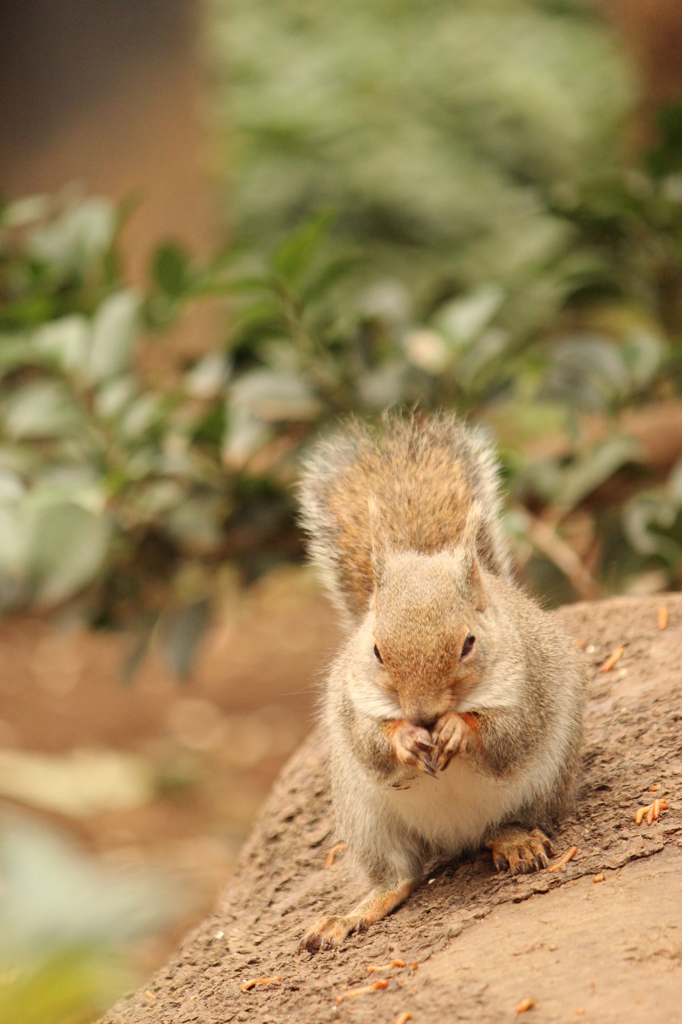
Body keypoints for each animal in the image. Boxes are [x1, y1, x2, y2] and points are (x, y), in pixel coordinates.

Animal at [296, 409, 585, 950]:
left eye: (469, 642)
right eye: (376, 650)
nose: (424, 714)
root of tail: (458, 836)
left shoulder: (530, 687)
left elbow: (508, 735)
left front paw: (457, 729)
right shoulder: (350, 702)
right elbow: (370, 742)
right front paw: (406, 739)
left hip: (546, 781)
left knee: (506, 824)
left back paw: (516, 842)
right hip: (368, 821)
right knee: (399, 877)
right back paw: (349, 915)